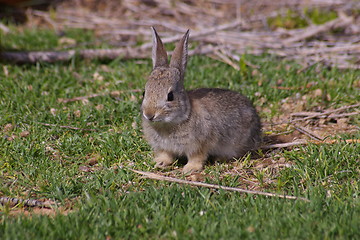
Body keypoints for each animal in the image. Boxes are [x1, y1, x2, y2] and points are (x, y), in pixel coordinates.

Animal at [141, 28, 262, 173]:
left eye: (170, 96)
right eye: (144, 92)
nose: (149, 115)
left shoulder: (200, 144)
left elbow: (197, 157)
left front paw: (189, 169)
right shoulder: (164, 147)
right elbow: (167, 155)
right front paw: (160, 162)